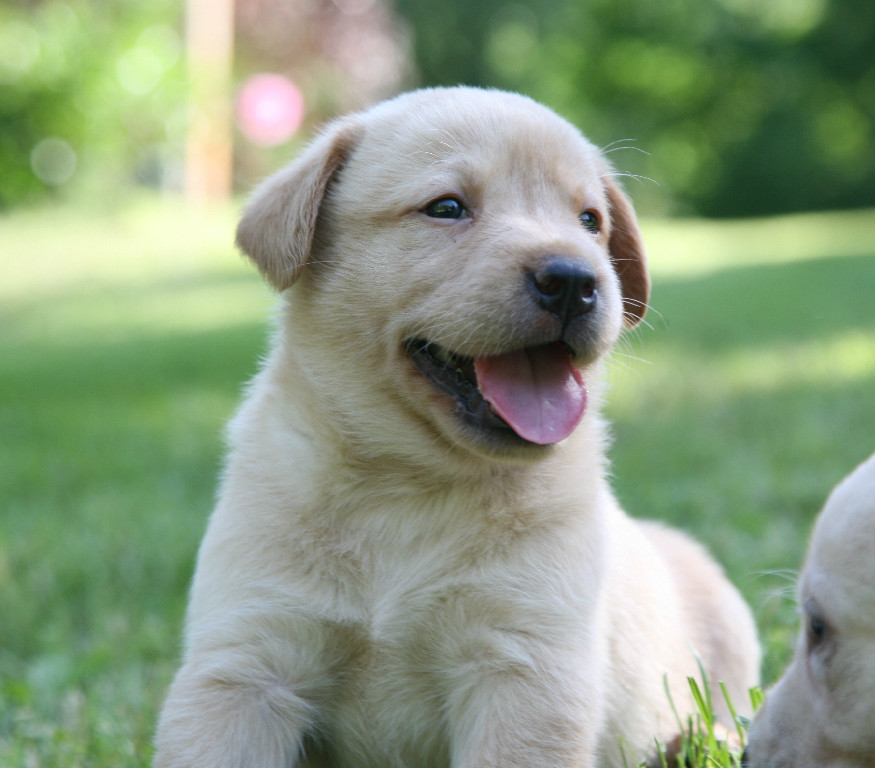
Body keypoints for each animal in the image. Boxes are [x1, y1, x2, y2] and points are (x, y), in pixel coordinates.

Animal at [156, 88, 760, 768]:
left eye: (589, 221)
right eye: (446, 208)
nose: (575, 280)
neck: (406, 487)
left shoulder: (525, 671)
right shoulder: (245, 664)